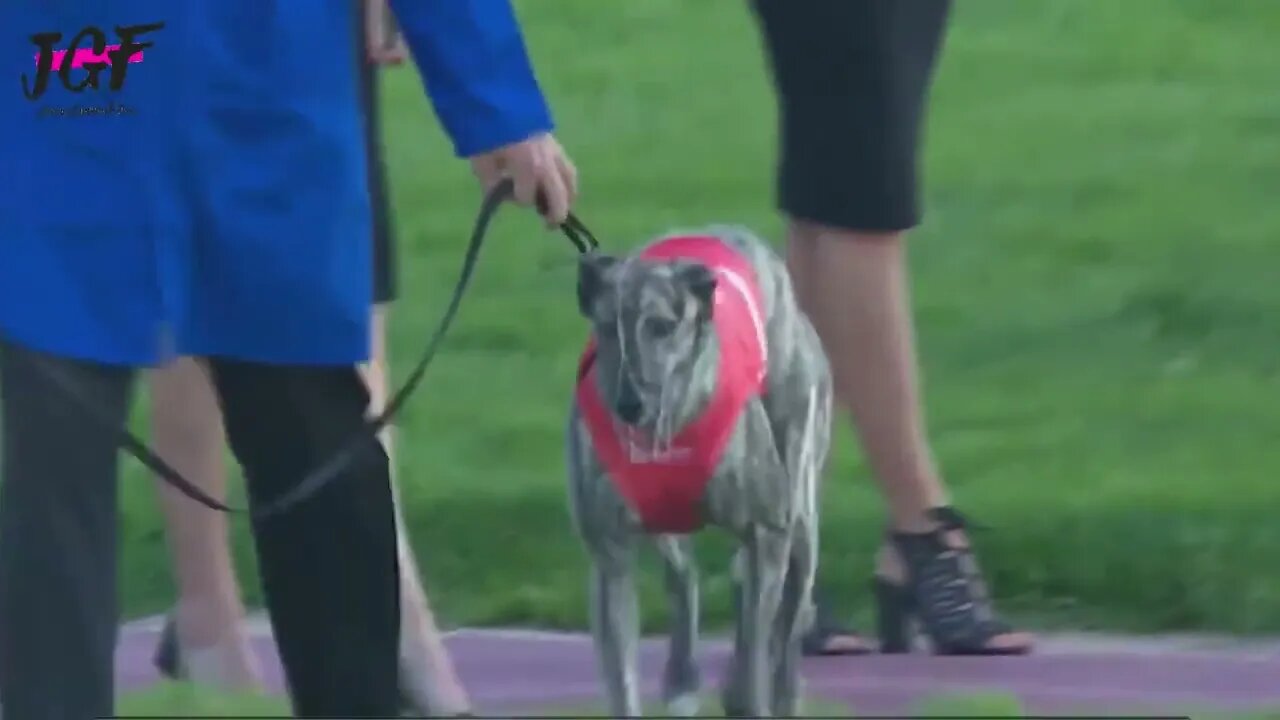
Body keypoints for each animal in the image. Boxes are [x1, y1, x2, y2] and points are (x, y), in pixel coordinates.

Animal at [563, 222, 829, 712]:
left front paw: (748, 692)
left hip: (801, 512)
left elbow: (757, 643)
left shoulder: (768, 532)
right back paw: (683, 677)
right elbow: (622, 679)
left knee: (786, 623)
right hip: (666, 518)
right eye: (606, 327)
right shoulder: (609, 553)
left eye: (662, 326)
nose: (630, 405)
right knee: (683, 575)